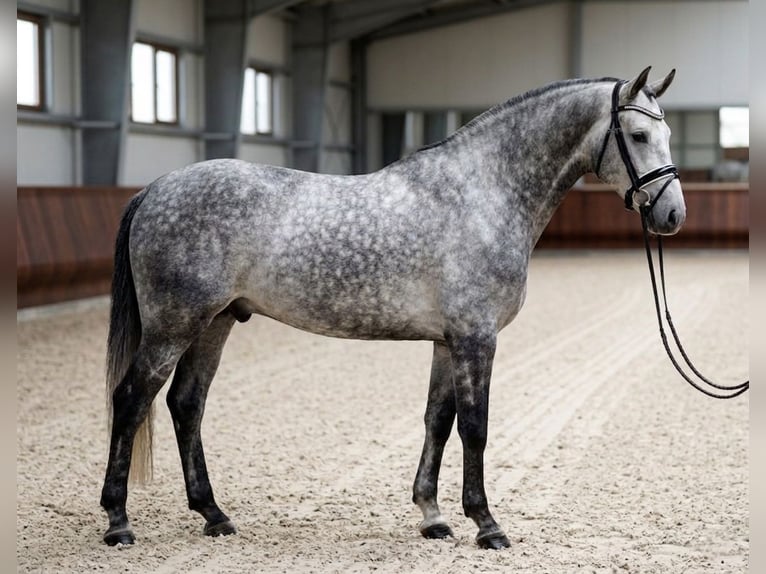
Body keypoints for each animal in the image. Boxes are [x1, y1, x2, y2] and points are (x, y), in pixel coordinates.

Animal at [101, 66, 685, 549]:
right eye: (638, 136)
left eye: (666, 135)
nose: (673, 215)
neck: (482, 194)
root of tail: (155, 190)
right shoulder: (476, 337)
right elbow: (476, 426)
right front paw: (487, 525)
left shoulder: (448, 341)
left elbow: (438, 421)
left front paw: (433, 516)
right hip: (173, 326)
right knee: (131, 400)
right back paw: (118, 522)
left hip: (215, 322)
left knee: (186, 404)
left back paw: (214, 515)